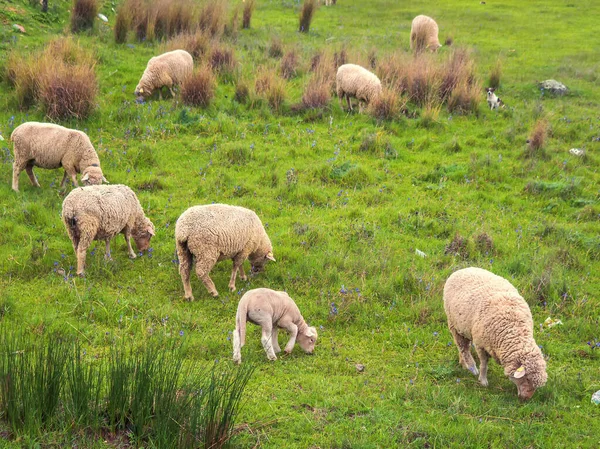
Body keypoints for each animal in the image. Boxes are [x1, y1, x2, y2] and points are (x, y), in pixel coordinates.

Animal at [442, 266, 548, 400]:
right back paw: (471, 367)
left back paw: (463, 363)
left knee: (464, 345)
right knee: (463, 347)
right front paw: (483, 381)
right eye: (527, 379)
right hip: (453, 324)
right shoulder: (480, 344)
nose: (526, 399)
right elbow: (484, 364)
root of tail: (463, 269)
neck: (513, 330)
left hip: (465, 327)